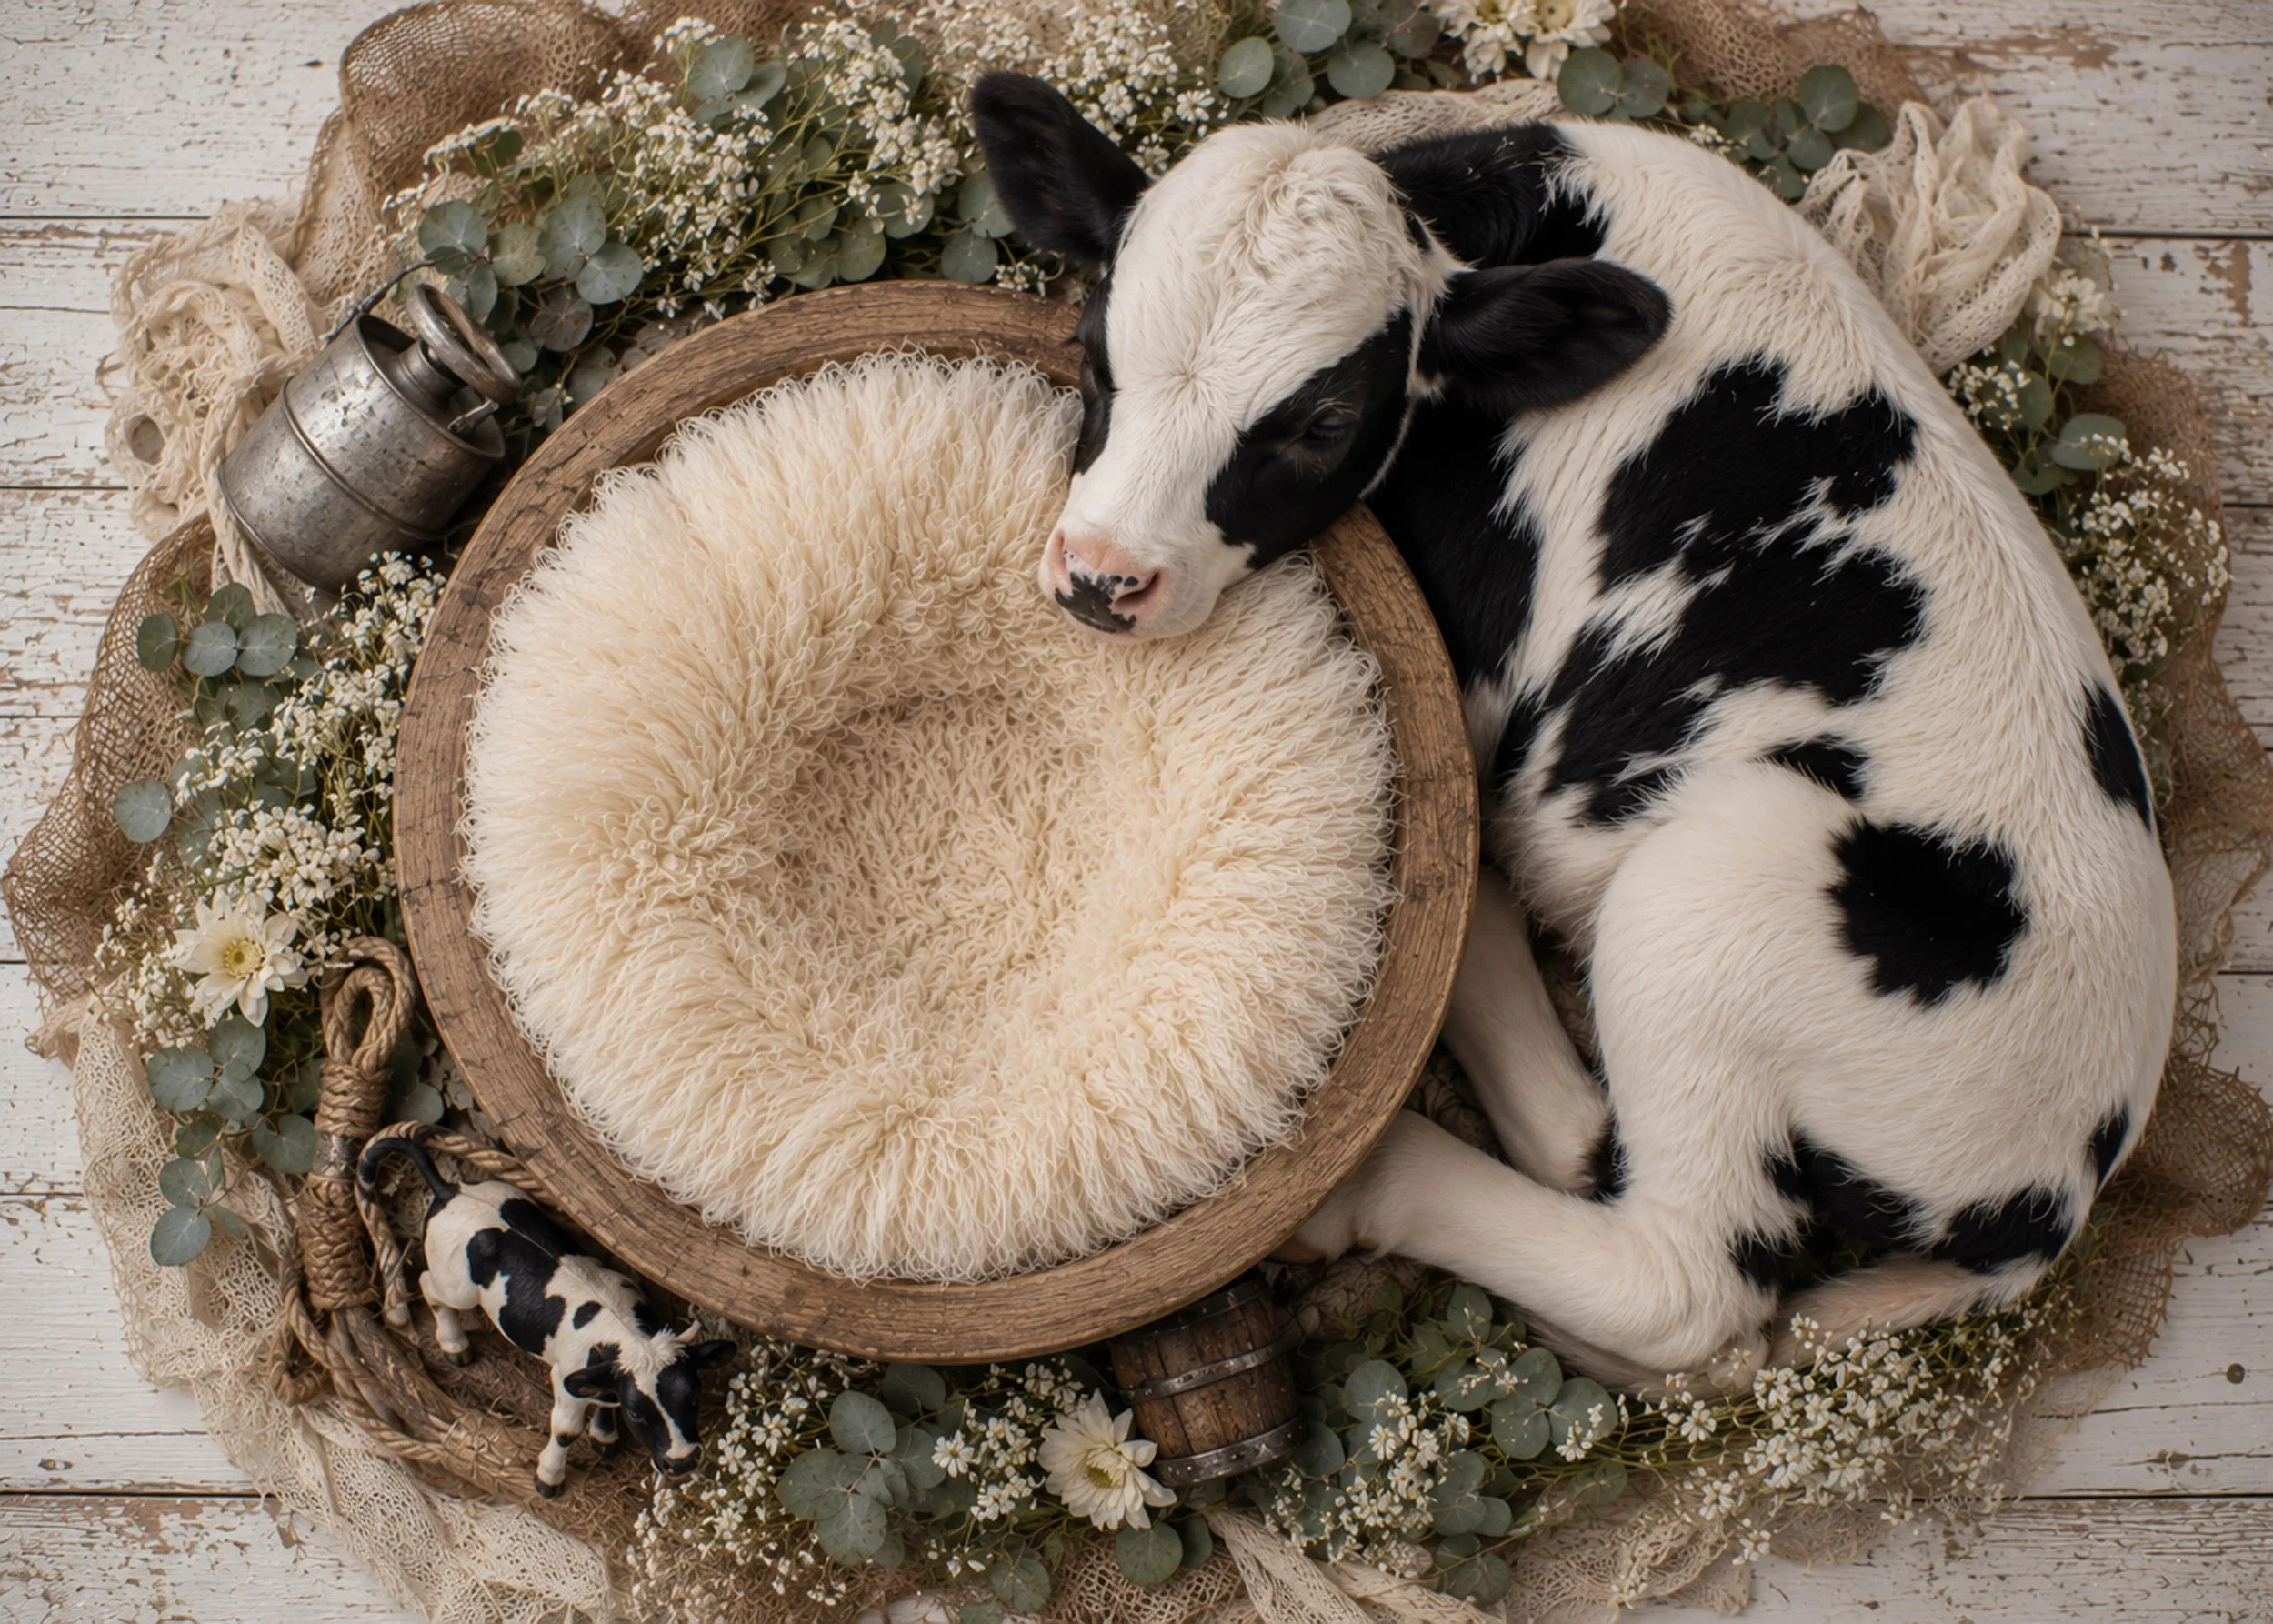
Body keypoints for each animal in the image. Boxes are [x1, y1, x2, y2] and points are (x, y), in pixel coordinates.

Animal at [361, 1137, 736, 1494]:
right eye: (637, 1415)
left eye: (694, 1399)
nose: (682, 1461)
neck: (624, 1332)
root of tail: (449, 1190)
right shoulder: (566, 1379)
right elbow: (566, 1431)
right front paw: (549, 1477)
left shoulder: (603, 1372)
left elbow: (605, 1400)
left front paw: (604, 1436)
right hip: (456, 1285)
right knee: (429, 1286)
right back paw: (454, 1344)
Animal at [969, 74, 2177, 1387]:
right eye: (1096, 353)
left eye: (1321, 422)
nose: (1103, 575)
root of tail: (2061, 1183)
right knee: (1590, 1144)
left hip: (1712, 901)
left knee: (1683, 1276)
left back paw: (1376, 1166)